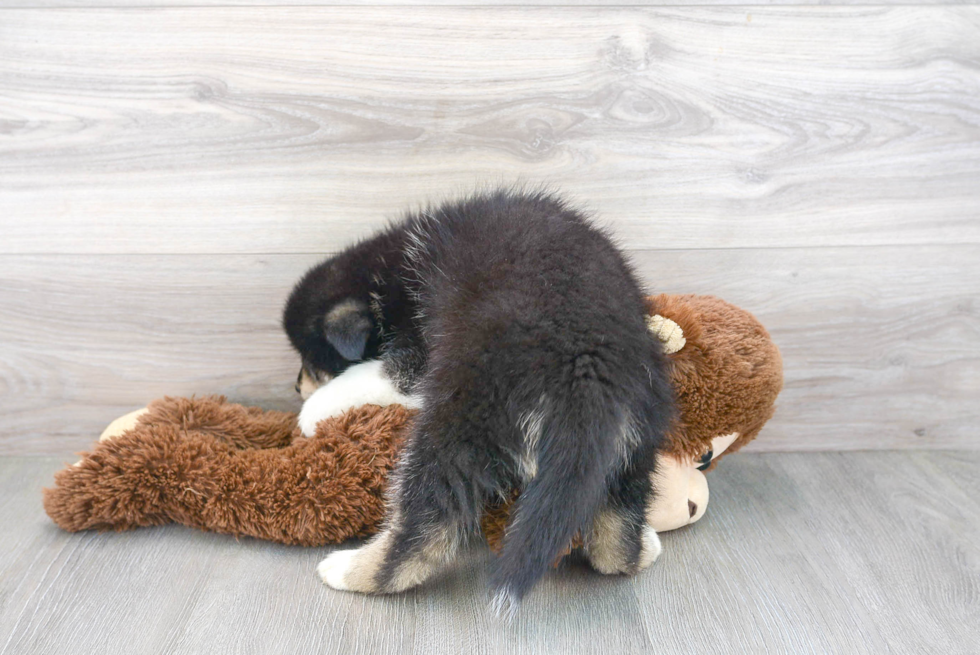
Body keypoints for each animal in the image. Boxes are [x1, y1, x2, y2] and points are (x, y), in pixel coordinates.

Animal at [284, 188, 672, 608]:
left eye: (311, 362)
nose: (295, 387)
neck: (386, 275)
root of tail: (584, 368)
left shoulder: (416, 357)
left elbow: (370, 375)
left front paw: (311, 412)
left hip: (457, 423)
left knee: (419, 531)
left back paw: (349, 570)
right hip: (637, 435)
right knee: (617, 539)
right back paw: (645, 545)